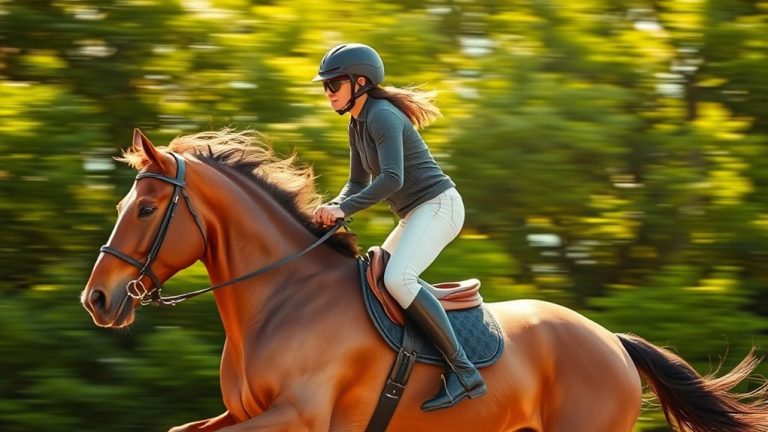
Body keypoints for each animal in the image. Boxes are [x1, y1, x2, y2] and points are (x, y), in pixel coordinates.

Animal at [82, 129, 768, 432]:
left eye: (146, 209)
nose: (98, 299)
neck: (280, 300)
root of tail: (611, 341)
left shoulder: (297, 418)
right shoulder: (242, 416)